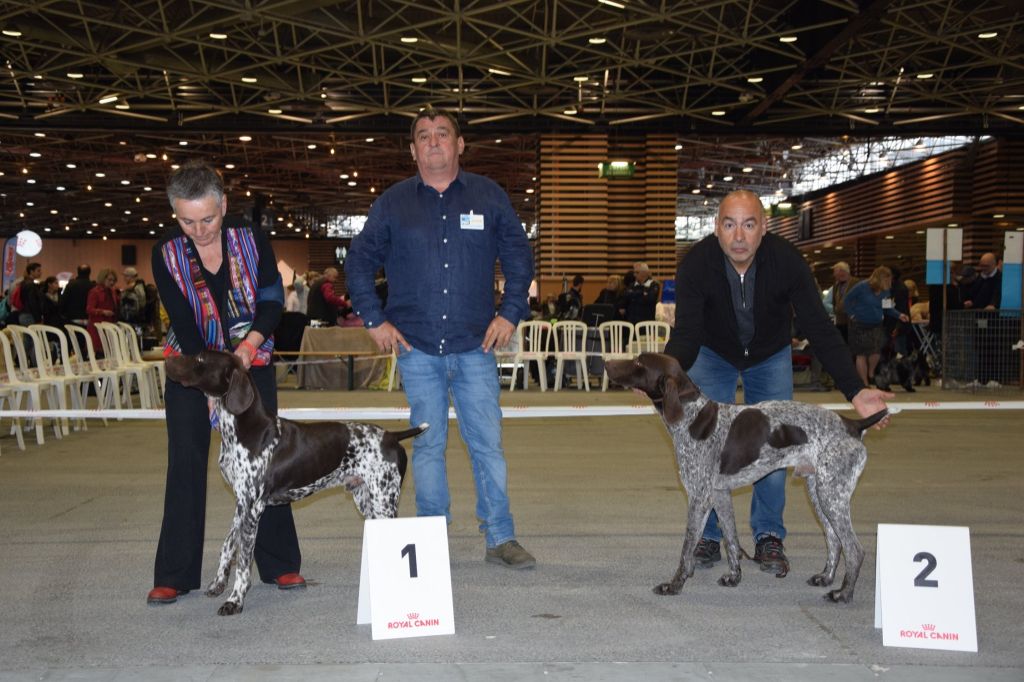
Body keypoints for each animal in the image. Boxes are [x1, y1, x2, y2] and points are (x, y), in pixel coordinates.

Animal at [164, 348, 428, 614]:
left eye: (200, 359)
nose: (167, 359)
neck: (240, 430)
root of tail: (392, 436)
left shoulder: (252, 508)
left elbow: (244, 563)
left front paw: (234, 600)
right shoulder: (241, 503)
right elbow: (228, 544)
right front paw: (218, 583)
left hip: (384, 500)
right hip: (367, 500)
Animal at [602, 350, 884, 602]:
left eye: (639, 362)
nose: (606, 362)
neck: (691, 417)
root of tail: (852, 424)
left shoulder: (699, 498)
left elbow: (686, 549)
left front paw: (674, 585)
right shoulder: (719, 495)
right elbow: (731, 539)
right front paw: (734, 576)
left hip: (831, 495)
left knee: (854, 549)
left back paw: (843, 594)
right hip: (819, 492)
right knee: (835, 540)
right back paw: (826, 578)